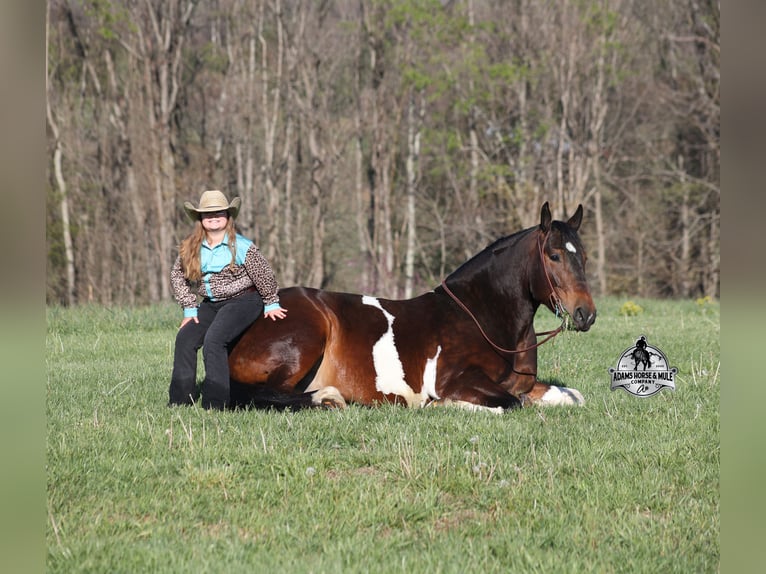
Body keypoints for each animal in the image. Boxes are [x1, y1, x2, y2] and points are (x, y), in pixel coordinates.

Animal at [228, 202, 596, 413]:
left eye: (584, 256)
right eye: (554, 256)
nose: (586, 314)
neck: (482, 318)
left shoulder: (526, 385)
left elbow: (573, 396)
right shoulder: (459, 381)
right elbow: (510, 404)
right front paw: (439, 406)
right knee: (258, 395)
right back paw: (328, 398)